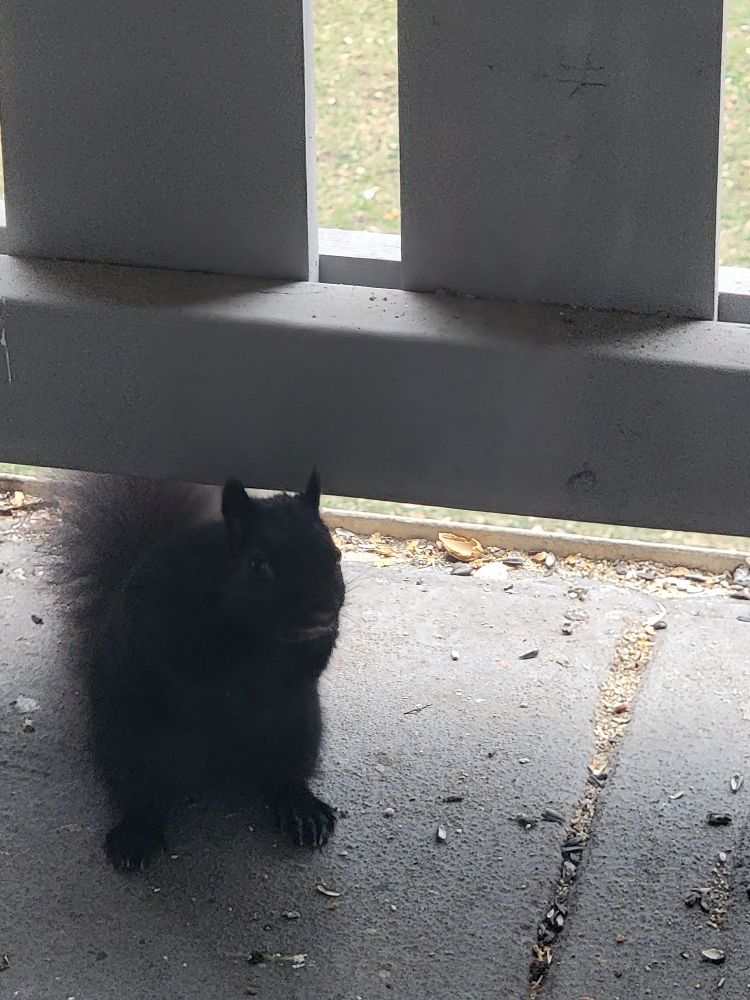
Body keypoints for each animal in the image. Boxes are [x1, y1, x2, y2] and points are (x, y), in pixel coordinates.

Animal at [64, 471, 345, 870]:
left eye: (336, 555)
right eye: (258, 565)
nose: (323, 608)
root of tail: (217, 768)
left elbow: (306, 666)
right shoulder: (166, 623)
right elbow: (190, 674)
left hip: (298, 731)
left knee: (283, 777)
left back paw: (301, 810)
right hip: (132, 740)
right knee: (142, 793)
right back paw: (136, 834)